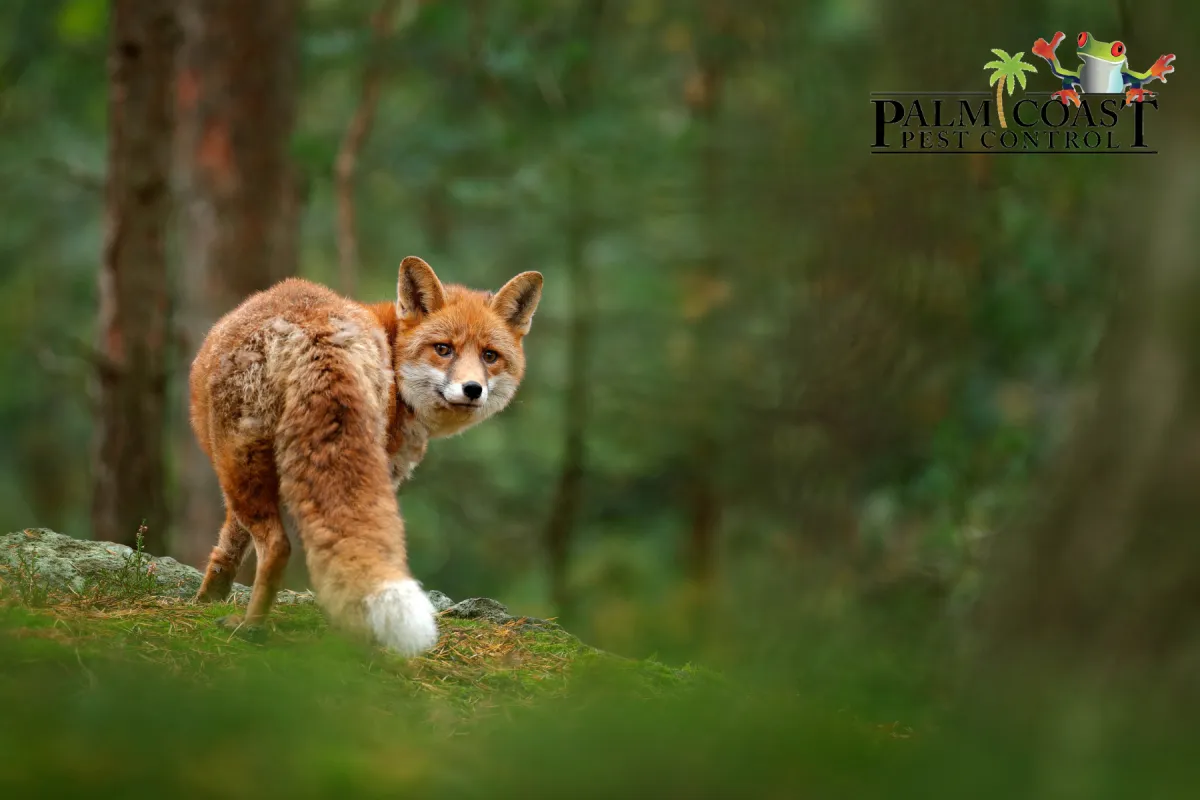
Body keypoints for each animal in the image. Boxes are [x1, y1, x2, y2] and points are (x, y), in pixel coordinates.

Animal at [187, 255, 542, 656]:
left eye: (489, 356)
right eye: (443, 349)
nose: (472, 389)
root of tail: (317, 333)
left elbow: (228, 545)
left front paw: (207, 600)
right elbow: (232, 545)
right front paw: (208, 599)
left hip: (237, 463)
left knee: (278, 547)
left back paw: (251, 626)